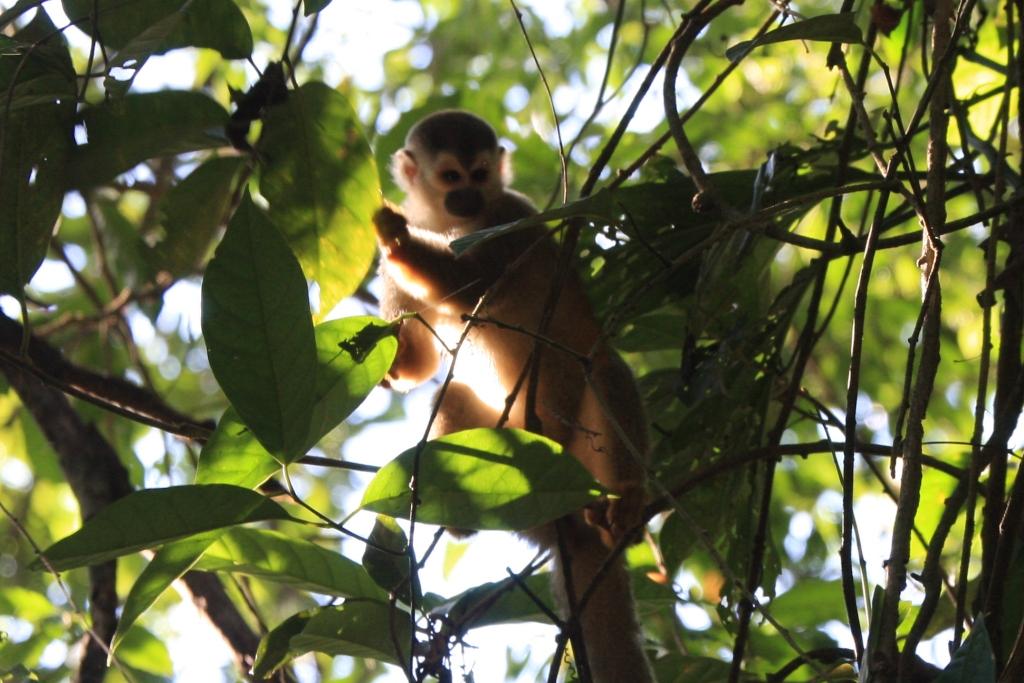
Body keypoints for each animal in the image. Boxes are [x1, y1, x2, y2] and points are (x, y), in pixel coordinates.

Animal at [373, 110, 655, 683]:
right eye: (451, 177)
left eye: (480, 174)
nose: (467, 198)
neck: (446, 221)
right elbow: (423, 362)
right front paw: (387, 358)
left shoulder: (510, 216)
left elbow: (471, 280)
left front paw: (397, 236)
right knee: (457, 393)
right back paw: (456, 519)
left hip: (581, 459)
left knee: (604, 369)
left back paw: (627, 500)